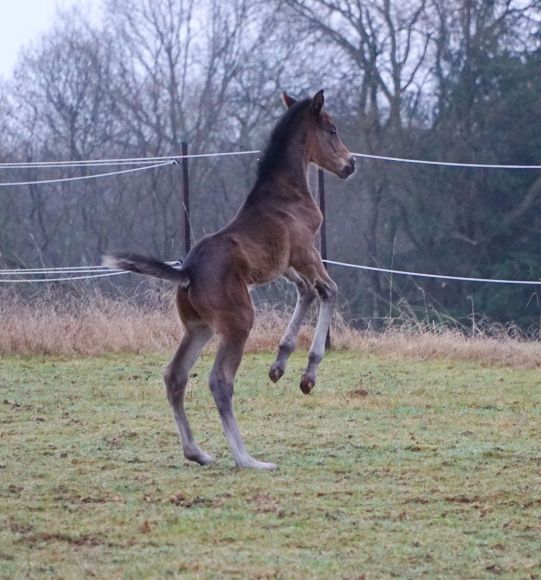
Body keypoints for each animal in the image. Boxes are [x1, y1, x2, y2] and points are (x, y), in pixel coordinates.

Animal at [105, 92, 354, 472]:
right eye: (332, 129)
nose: (350, 164)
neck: (286, 194)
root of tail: (187, 271)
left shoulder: (284, 264)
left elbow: (307, 291)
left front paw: (280, 365)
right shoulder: (304, 252)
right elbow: (328, 290)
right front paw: (307, 375)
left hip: (199, 327)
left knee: (174, 376)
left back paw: (198, 452)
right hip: (239, 321)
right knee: (219, 381)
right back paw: (247, 459)